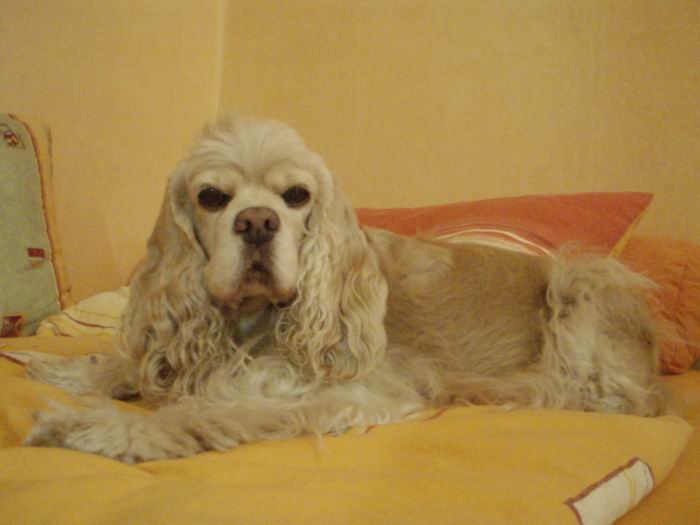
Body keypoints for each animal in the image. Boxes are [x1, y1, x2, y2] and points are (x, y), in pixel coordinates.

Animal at [25, 116, 667, 463]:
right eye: (211, 197)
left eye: (296, 196)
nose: (256, 223)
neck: (250, 321)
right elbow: (132, 367)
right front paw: (70, 369)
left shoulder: (350, 391)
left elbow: (212, 409)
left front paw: (99, 426)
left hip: (583, 279)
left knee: (604, 396)